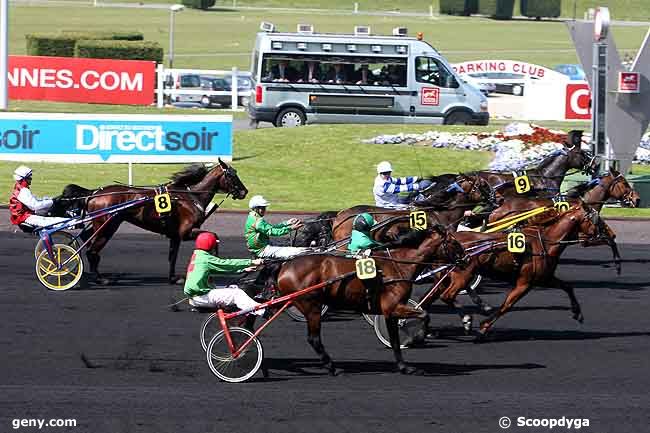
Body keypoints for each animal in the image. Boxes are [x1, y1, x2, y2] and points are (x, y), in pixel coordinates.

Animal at [55, 159, 247, 284]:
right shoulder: (186, 232)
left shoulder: (175, 236)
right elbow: (214, 236)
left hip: (100, 225)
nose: (244, 192)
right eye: (232, 175)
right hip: (107, 226)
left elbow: (173, 256)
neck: (190, 197)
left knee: (87, 241)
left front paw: (173, 278)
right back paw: (100, 279)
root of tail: (94, 193)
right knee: (92, 251)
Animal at [270, 224, 464, 372]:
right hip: (311, 306)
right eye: (453, 242)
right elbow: (424, 315)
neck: (398, 265)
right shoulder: (393, 307)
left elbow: (395, 340)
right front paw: (416, 337)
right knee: (314, 339)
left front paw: (404, 366)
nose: (465, 258)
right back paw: (332, 367)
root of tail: (285, 265)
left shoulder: (390, 312)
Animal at [420, 201, 604, 340]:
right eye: (597, 220)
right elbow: (507, 305)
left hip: (446, 276)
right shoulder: (525, 283)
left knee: (430, 297)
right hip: (463, 274)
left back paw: (426, 327)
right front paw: (483, 328)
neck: (545, 241)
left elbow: (567, 286)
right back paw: (465, 319)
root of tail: (446, 241)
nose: (606, 235)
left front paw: (577, 313)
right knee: (447, 295)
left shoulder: (544, 278)